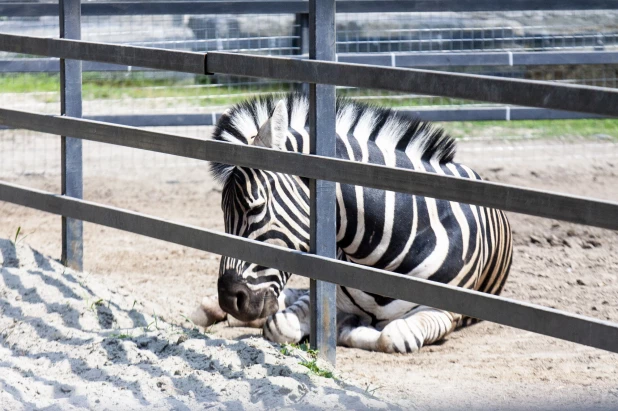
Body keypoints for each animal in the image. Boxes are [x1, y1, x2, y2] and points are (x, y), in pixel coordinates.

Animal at [191, 93, 510, 354]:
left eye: (254, 207)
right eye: (223, 212)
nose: (228, 299)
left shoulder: (442, 310)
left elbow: (393, 336)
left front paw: (350, 330)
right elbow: (280, 325)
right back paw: (211, 310)